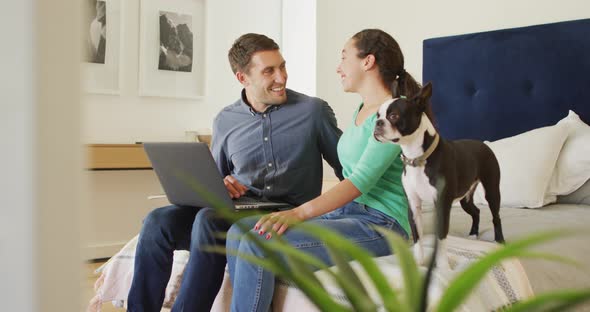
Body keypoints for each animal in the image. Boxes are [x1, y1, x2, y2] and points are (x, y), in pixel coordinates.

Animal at [374, 82, 504, 268]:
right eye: (377, 115)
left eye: (394, 116)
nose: (377, 123)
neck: (417, 158)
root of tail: (483, 144)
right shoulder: (413, 206)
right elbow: (418, 238)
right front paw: (419, 262)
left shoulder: (442, 205)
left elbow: (441, 239)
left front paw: (443, 266)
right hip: (465, 198)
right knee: (476, 211)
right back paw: (473, 234)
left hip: (492, 190)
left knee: (496, 216)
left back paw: (500, 242)